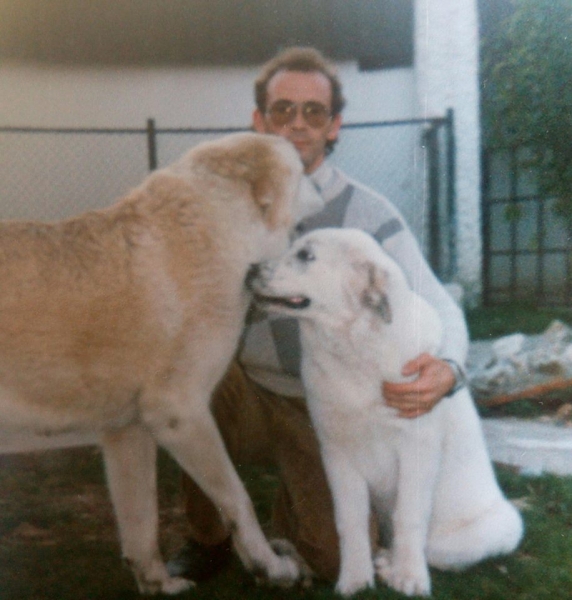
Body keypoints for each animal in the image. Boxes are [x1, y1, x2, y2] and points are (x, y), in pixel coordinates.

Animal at [254, 229, 524, 596]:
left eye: (306, 256)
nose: (249, 270)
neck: (354, 348)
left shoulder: (416, 448)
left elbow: (408, 516)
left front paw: (409, 577)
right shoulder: (336, 452)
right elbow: (349, 520)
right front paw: (354, 578)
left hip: (501, 526)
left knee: (435, 550)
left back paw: (390, 563)